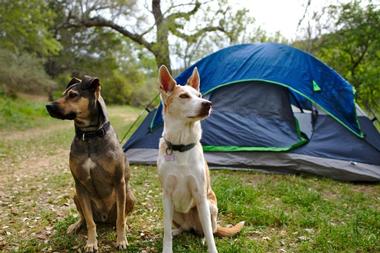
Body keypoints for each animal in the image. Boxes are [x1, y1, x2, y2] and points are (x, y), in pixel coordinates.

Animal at [45, 76, 135, 252]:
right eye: (63, 94)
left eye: (73, 95)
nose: (48, 106)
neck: (90, 135)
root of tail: (105, 217)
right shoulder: (79, 185)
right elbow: (89, 221)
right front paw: (91, 243)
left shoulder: (119, 182)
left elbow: (120, 219)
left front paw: (121, 240)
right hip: (76, 196)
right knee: (85, 217)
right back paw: (76, 225)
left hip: (129, 194)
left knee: (122, 216)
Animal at [157, 65, 243, 253]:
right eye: (183, 96)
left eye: (199, 95)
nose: (208, 104)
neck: (181, 145)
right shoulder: (167, 195)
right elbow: (165, 231)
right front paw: (167, 247)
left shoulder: (200, 195)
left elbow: (210, 235)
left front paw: (212, 249)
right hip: (173, 209)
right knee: (184, 227)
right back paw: (177, 231)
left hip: (209, 206)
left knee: (210, 229)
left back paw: (202, 238)